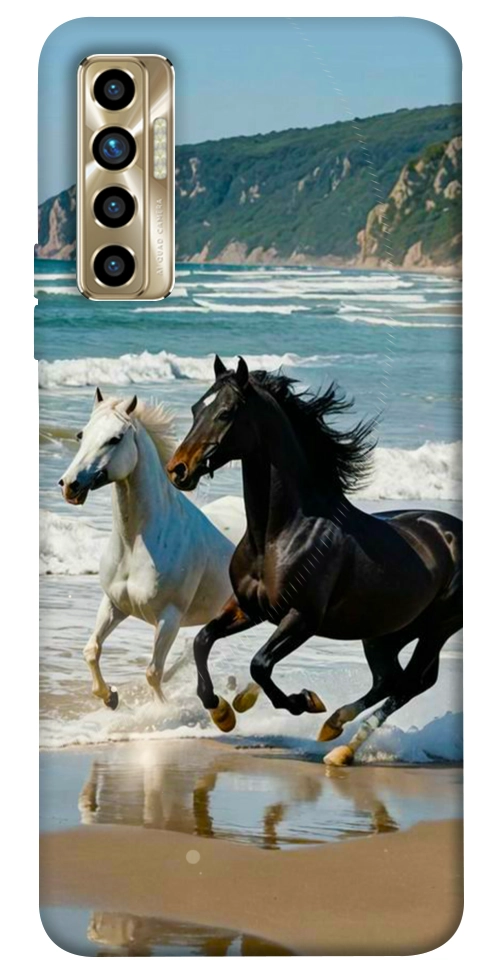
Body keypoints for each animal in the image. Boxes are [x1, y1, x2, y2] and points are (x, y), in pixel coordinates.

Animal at [59, 388, 234, 709]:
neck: (135, 544)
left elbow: (153, 672)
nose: (69, 485)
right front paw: (110, 697)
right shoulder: (114, 604)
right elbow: (91, 650)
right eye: (81, 434)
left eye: (115, 438)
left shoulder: (169, 618)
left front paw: (161, 711)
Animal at [166, 356, 462, 765]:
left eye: (225, 412)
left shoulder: (302, 618)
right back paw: (334, 729)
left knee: (410, 683)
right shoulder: (248, 608)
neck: (280, 534)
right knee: (390, 679)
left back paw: (340, 745)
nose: (177, 469)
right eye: (197, 408)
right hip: (386, 632)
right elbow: (202, 640)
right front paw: (223, 711)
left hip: (437, 628)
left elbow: (260, 664)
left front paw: (303, 701)